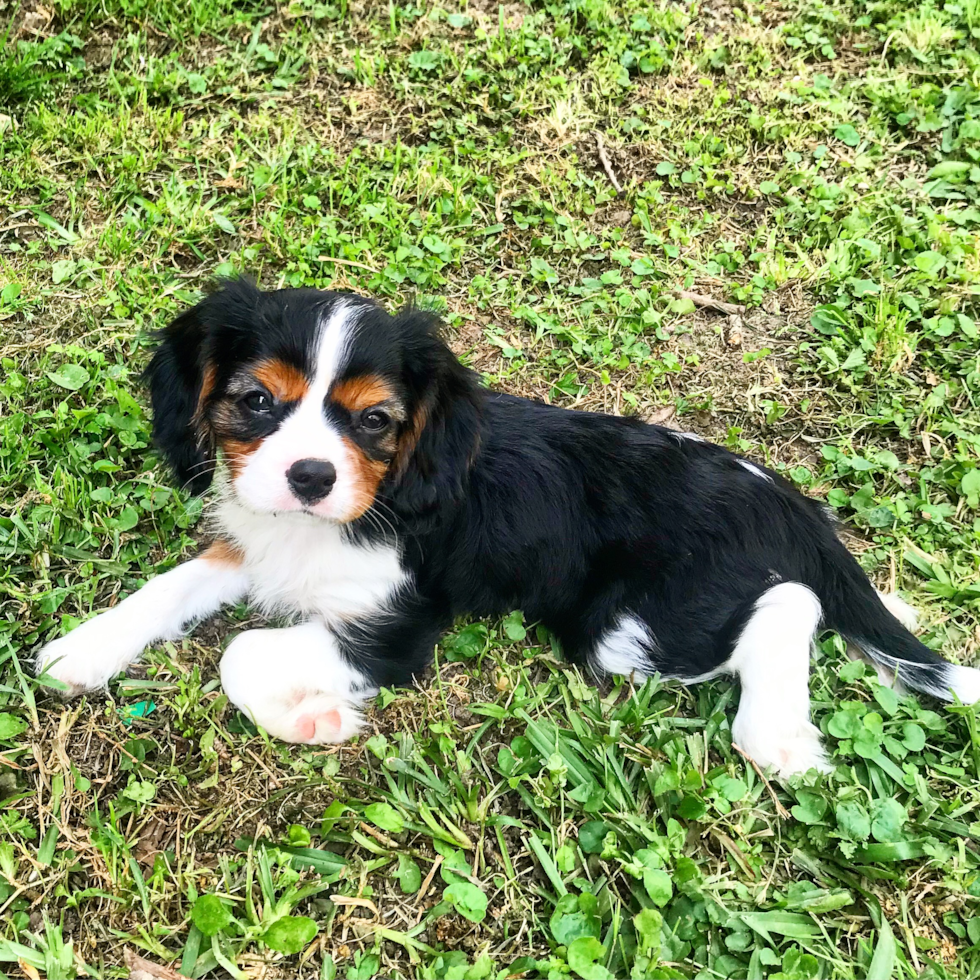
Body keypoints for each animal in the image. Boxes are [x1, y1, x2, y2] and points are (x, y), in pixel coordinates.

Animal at [36, 280, 980, 776]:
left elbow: (238, 652)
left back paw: (778, 738)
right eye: (256, 401)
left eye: (374, 421)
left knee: (790, 605)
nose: (311, 477)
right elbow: (177, 582)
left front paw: (314, 719)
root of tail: (779, 495)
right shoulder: (256, 534)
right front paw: (84, 648)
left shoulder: (396, 624)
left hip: (629, 632)